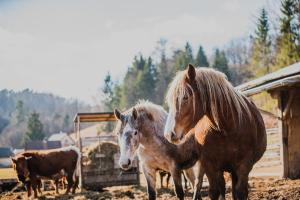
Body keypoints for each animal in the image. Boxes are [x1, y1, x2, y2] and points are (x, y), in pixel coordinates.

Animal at [164, 64, 268, 200]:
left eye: (185, 97)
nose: (169, 134)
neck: (227, 129)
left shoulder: (244, 166)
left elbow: (240, 192)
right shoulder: (210, 166)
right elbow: (214, 192)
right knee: (203, 184)